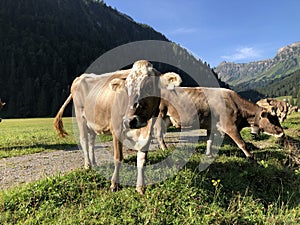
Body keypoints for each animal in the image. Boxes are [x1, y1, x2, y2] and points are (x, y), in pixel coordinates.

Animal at [52, 60, 182, 194]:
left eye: (150, 86)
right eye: (126, 88)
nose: (129, 121)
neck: (143, 128)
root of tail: (81, 77)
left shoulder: (147, 134)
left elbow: (141, 161)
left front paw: (140, 187)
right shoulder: (117, 129)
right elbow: (118, 158)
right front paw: (114, 184)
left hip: (93, 122)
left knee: (92, 141)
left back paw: (94, 163)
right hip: (80, 117)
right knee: (84, 140)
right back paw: (88, 165)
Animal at [155, 85, 284, 161]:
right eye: (273, 119)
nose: (282, 133)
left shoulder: (212, 127)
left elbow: (210, 141)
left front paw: (209, 154)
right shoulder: (230, 126)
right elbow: (242, 143)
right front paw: (250, 157)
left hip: (167, 118)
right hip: (160, 115)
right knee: (158, 134)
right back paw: (164, 149)